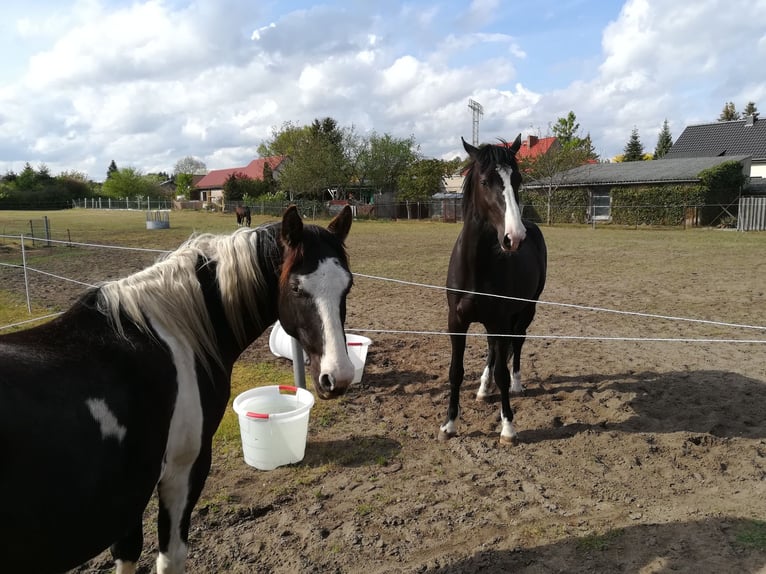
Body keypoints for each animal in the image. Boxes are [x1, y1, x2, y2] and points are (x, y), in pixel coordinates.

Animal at [0, 207, 358, 574]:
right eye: (297, 288)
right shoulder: (181, 472)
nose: (339, 376)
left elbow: (128, 551)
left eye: (348, 286)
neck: (167, 336)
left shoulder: (131, 487)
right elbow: (170, 556)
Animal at [440, 136, 548, 446]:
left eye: (518, 180)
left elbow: (502, 370)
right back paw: (483, 389)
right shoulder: (457, 323)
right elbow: (456, 371)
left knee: (518, 343)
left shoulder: (500, 320)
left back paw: (517, 385)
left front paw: (508, 427)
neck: (476, 268)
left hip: (526, 310)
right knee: (492, 348)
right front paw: (449, 424)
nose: (515, 237)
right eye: (485, 181)